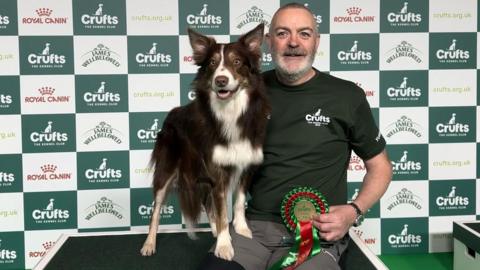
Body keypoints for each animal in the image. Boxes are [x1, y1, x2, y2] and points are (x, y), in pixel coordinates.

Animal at [141, 24, 272, 260]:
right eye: (212, 63)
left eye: (236, 62)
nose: (221, 81)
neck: (230, 112)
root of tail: (171, 113)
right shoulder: (217, 171)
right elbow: (222, 211)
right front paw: (224, 245)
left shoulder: (246, 165)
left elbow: (238, 202)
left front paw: (241, 230)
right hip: (167, 168)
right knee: (156, 208)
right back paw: (149, 243)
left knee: (207, 202)